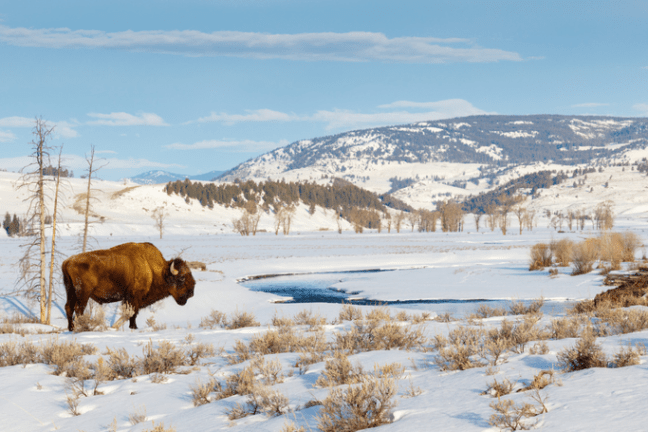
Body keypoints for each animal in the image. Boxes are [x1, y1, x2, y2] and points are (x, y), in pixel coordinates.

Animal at [62, 242, 195, 331]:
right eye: (182, 278)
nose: (191, 293)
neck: (153, 270)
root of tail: (67, 262)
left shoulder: (130, 299)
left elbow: (130, 314)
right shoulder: (134, 297)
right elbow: (131, 314)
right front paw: (131, 327)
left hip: (70, 291)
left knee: (69, 308)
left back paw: (71, 328)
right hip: (83, 294)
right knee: (79, 310)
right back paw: (80, 327)